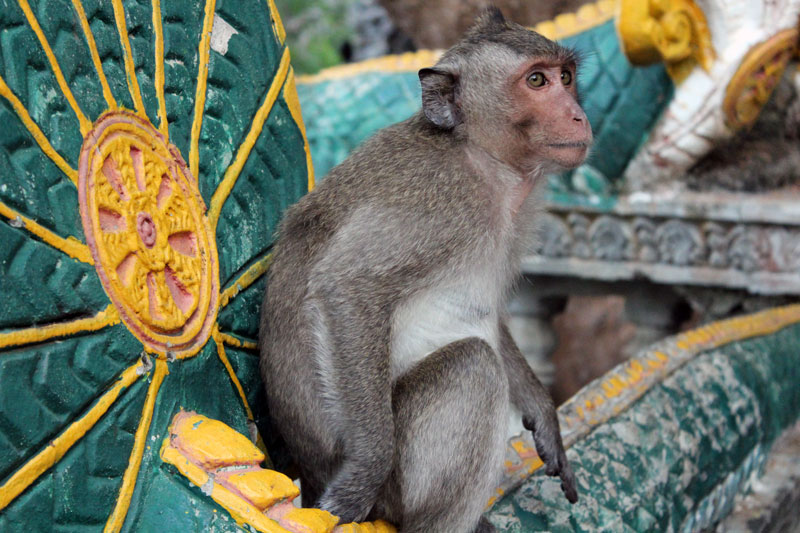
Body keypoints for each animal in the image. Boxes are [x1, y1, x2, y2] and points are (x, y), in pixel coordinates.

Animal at [260, 8, 592, 532]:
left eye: (566, 77)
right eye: (536, 81)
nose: (578, 115)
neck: (482, 158)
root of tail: (308, 472)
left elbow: (495, 316)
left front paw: (543, 413)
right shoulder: (438, 200)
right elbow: (347, 286)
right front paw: (365, 470)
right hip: (398, 491)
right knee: (474, 366)